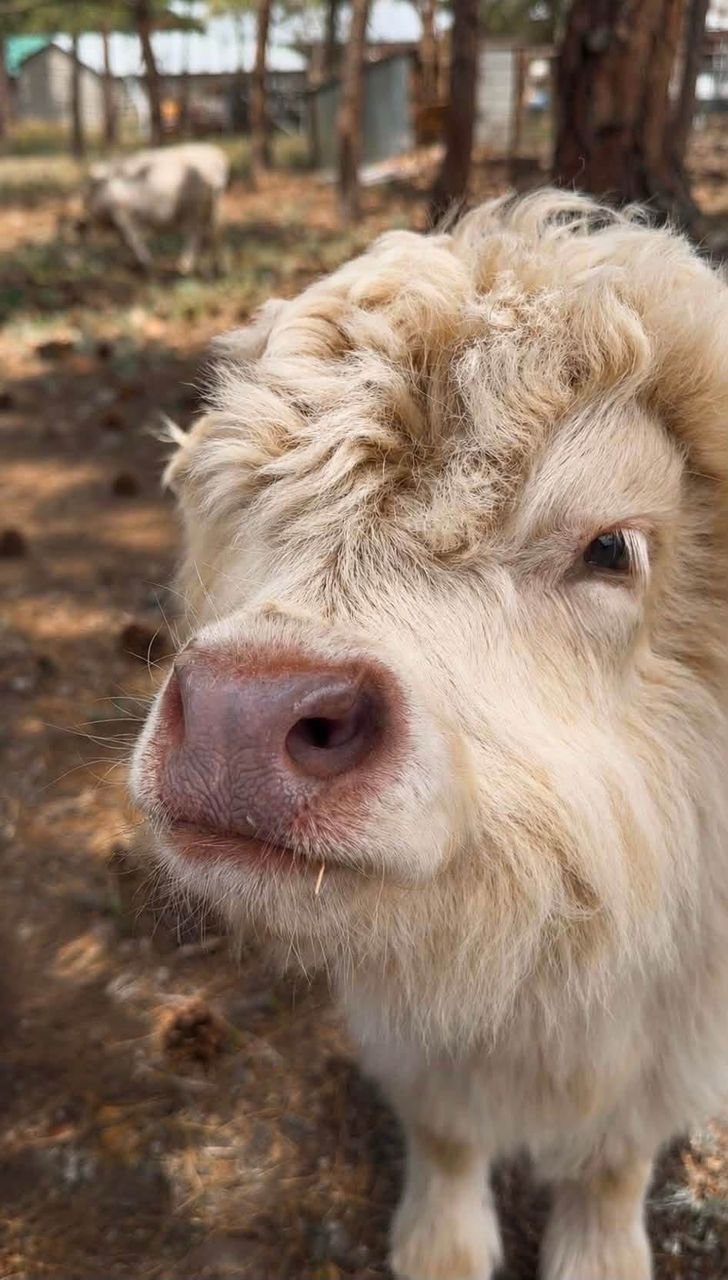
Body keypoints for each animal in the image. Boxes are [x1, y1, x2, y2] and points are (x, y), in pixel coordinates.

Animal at [130, 190, 728, 1280]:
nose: (242, 715)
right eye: (249, 503)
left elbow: (614, 1157)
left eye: (611, 546)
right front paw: (440, 1245)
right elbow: (446, 1128)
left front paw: (598, 1253)